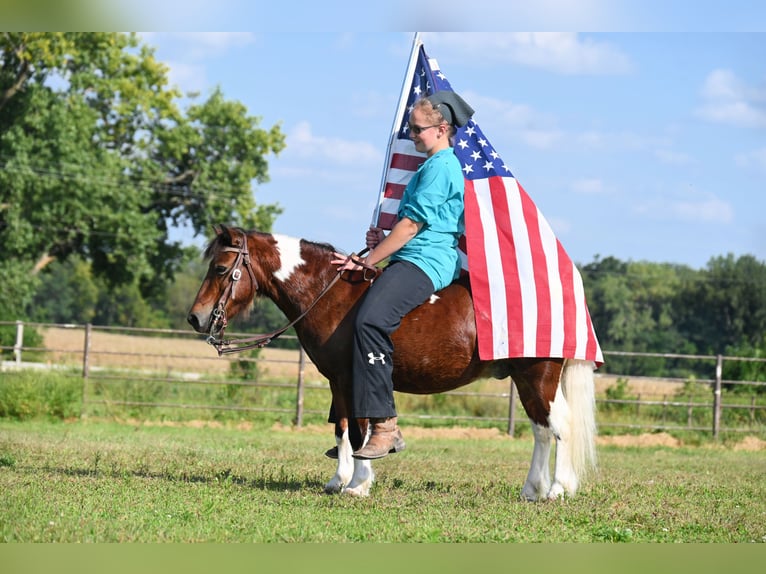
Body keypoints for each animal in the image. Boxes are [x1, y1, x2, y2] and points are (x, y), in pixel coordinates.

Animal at [187, 225, 598, 500]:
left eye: (220, 269)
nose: (195, 317)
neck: (331, 294)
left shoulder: (354, 377)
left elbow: (359, 432)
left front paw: (358, 484)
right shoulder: (338, 381)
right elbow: (341, 428)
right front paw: (339, 480)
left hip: (538, 376)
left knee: (559, 426)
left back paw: (556, 489)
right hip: (526, 380)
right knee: (542, 430)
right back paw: (532, 489)